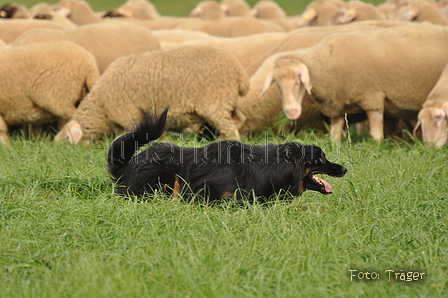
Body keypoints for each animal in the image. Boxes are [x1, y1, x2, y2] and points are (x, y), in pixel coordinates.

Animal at [54, 44, 250, 146]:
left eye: (67, 138)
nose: (57, 149)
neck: (100, 105)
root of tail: (239, 73)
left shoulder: (129, 114)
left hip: (215, 102)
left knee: (230, 128)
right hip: (228, 102)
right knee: (239, 119)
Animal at [260, 23, 448, 142]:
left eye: (298, 79)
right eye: (276, 83)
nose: (291, 112)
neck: (326, 65)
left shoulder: (372, 98)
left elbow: (376, 135)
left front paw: (377, 149)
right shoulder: (337, 105)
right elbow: (335, 135)